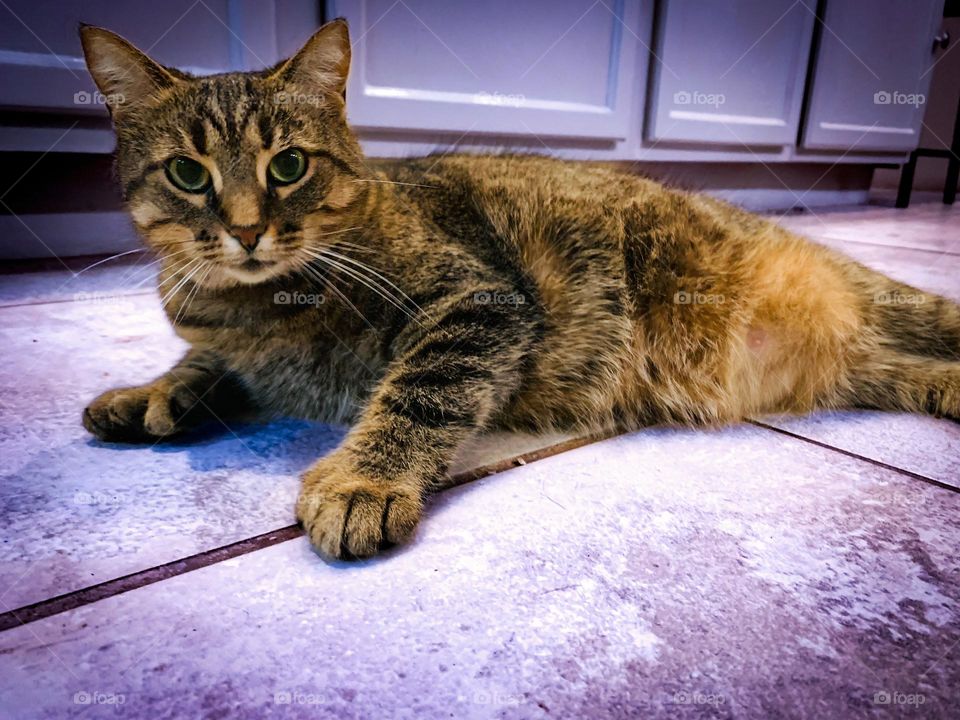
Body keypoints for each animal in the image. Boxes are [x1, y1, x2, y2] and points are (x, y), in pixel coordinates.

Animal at [80, 15, 960, 556]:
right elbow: (201, 362)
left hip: (887, 303)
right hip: (875, 370)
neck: (257, 305)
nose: (246, 228)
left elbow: (420, 393)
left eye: (288, 165)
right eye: (188, 174)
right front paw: (152, 391)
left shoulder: (478, 302)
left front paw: (366, 476)